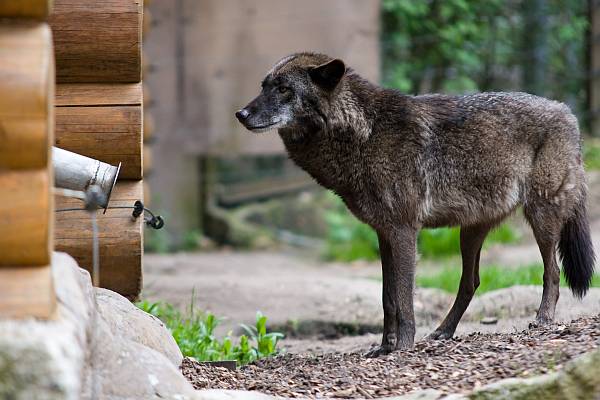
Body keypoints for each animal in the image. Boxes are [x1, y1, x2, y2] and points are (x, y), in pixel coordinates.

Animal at [234, 52, 596, 356]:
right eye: (264, 86)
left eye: (284, 89)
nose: (241, 114)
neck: (364, 133)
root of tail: (568, 112)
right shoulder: (383, 233)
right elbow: (387, 298)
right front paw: (384, 348)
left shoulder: (405, 230)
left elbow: (405, 298)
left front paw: (403, 348)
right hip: (471, 232)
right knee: (471, 282)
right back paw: (443, 332)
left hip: (540, 216)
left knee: (552, 271)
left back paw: (543, 319)